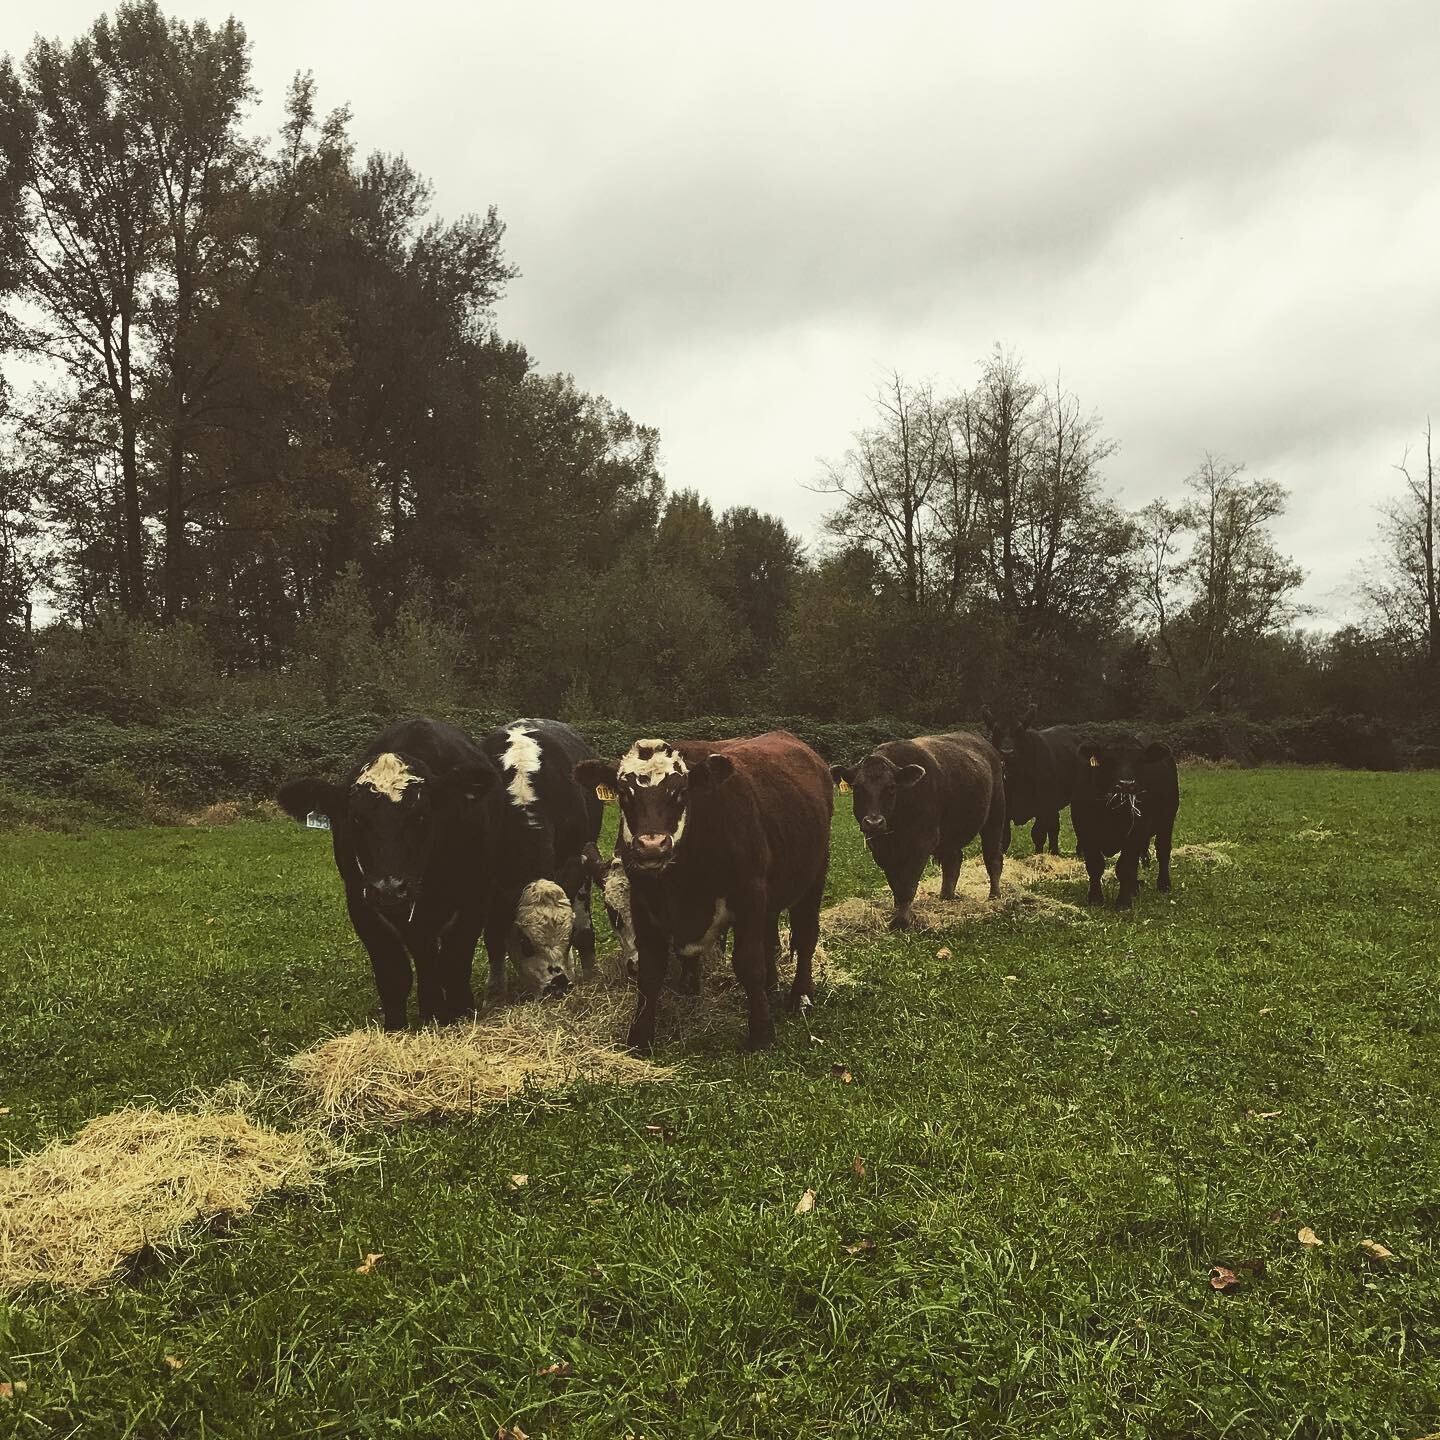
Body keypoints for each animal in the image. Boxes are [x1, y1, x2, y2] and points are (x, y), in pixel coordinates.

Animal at [576, 731, 835, 1059]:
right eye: (624, 793)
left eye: (680, 791)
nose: (651, 846)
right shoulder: (644, 903)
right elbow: (650, 972)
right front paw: (641, 1036)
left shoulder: (749, 894)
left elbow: (748, 964)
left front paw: (761, 1033)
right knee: (770, 941)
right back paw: (772, 986)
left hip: (814, 876)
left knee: (805, 937)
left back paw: (800, 996)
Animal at [835, 731, 1002, 933]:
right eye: (858, 787)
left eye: (891, 787)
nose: (874, 822)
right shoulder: (880, 849)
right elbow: (896, 884)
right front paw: (898, 913)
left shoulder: (922, 842)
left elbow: (907, 884)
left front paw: (902, 921)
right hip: (950, 832)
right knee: (953, 860)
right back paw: (946, 896)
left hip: (995, 814)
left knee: (993, 857)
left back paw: (994, 896)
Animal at [979, 705, 1082, 852]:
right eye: (996, 731)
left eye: (1019, 731)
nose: (1007, 752)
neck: (1017, 778)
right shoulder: (1005, 810)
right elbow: (1004, 839)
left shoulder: (1043, 806)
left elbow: (1038, 835)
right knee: (1054, 827)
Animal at [1071, 737, 1180, 904]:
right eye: (1109, 760)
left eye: (1140, 761)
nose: (1126, 785)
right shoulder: (1084, 830)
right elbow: (1095, 865)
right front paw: (1095, 898)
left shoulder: (1137, 832)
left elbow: (1125, 867)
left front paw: (1123, 902)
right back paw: (1134, 889)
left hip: (1167, 821)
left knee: (1163, 850)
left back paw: (1163, 884)